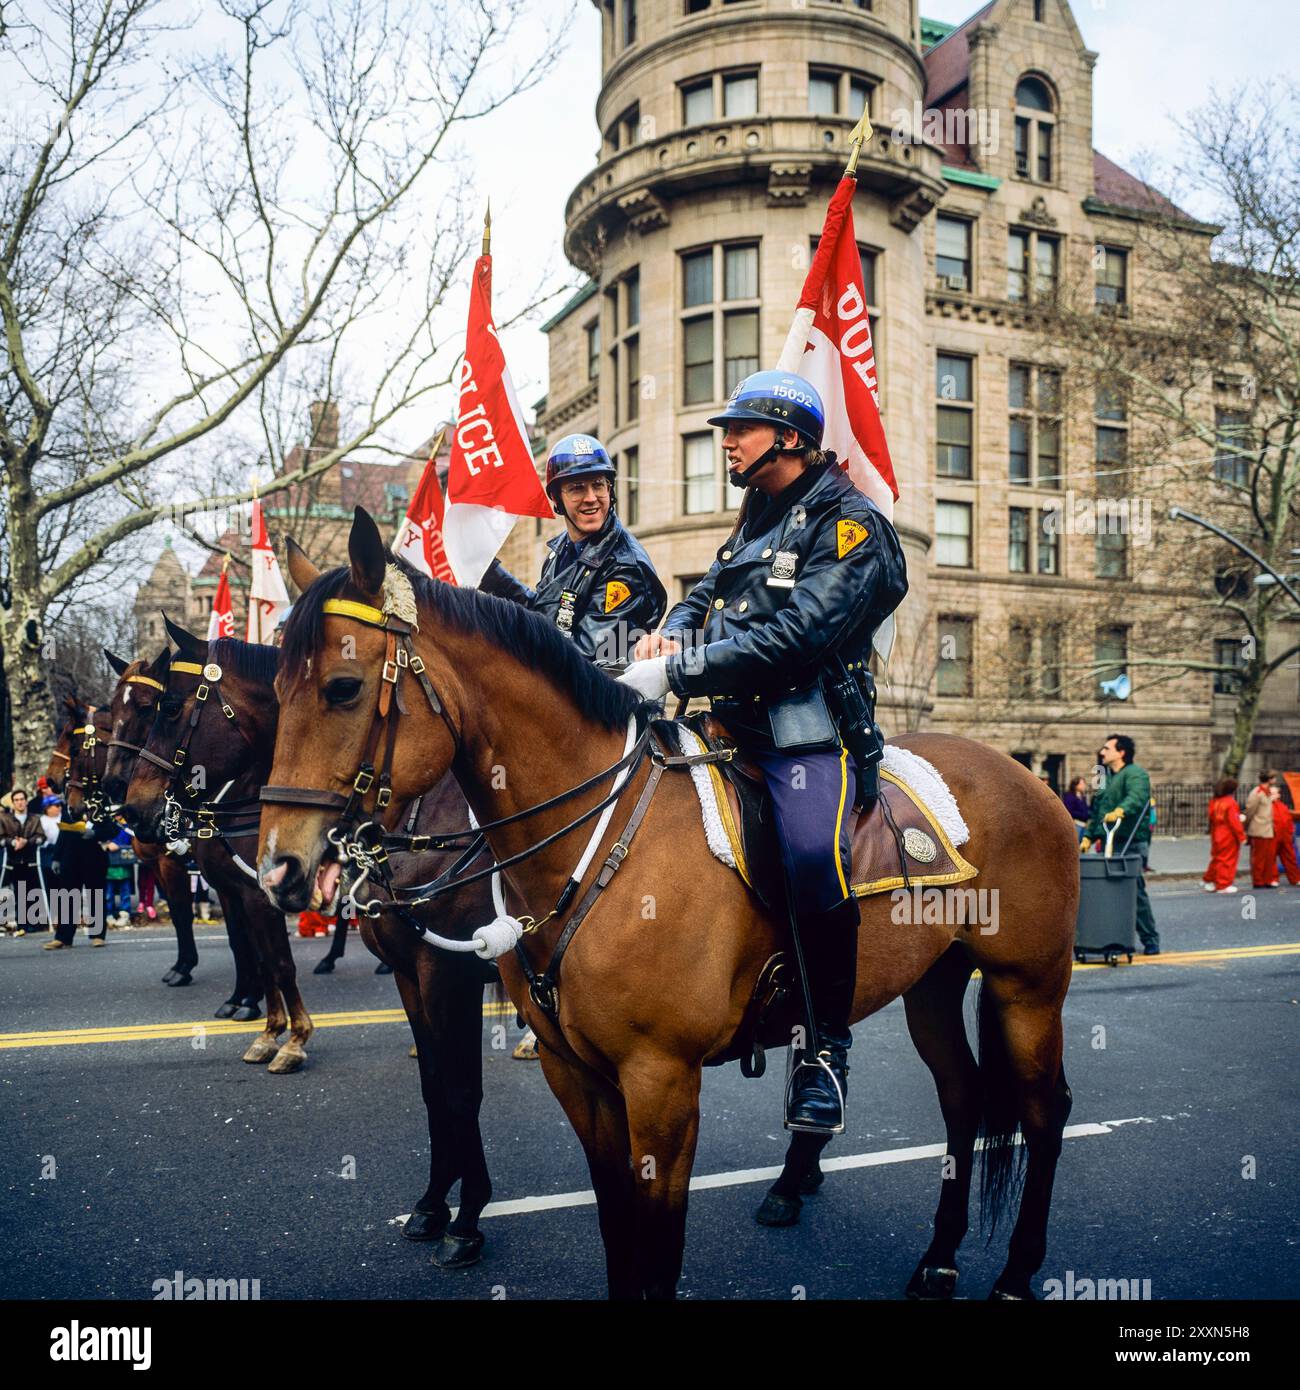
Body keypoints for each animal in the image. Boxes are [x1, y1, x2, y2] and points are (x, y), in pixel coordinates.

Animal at [257, 511, 1078, 1301]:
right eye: (275, 692)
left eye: (342, 687)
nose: (277, 865)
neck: (598, 838)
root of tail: (1025, 775)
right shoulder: (573, 1072)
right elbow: (612, 1220)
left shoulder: (661, 1080)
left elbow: (651, 1239)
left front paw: (458, 1217)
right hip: (933, 983)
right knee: (965, 1099)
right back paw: (937, 1260)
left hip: (1028, 987)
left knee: (1044, 1110)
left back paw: (1014, 1272)